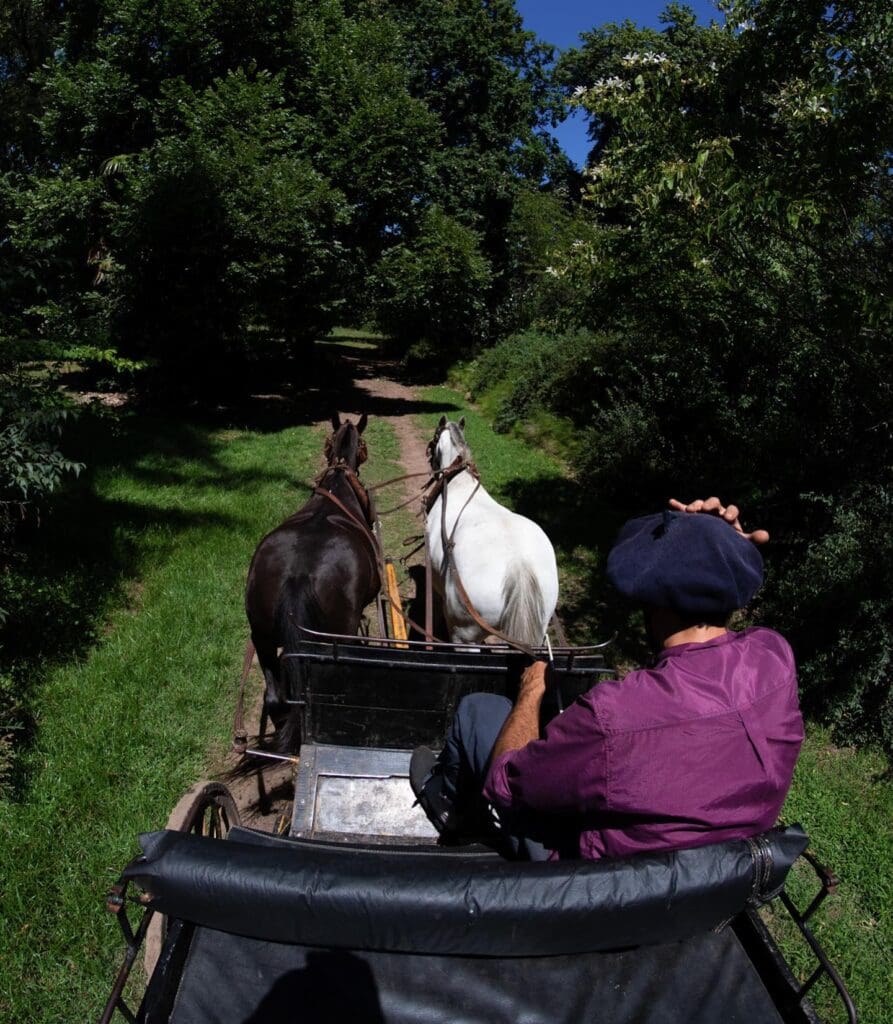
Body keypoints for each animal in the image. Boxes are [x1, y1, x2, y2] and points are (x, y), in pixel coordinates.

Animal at [243, 413, 380, 753]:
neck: (339, 481)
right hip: (338, 636)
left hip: (261, 635)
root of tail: (297, 574)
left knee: (276, 699)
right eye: (364, 447)